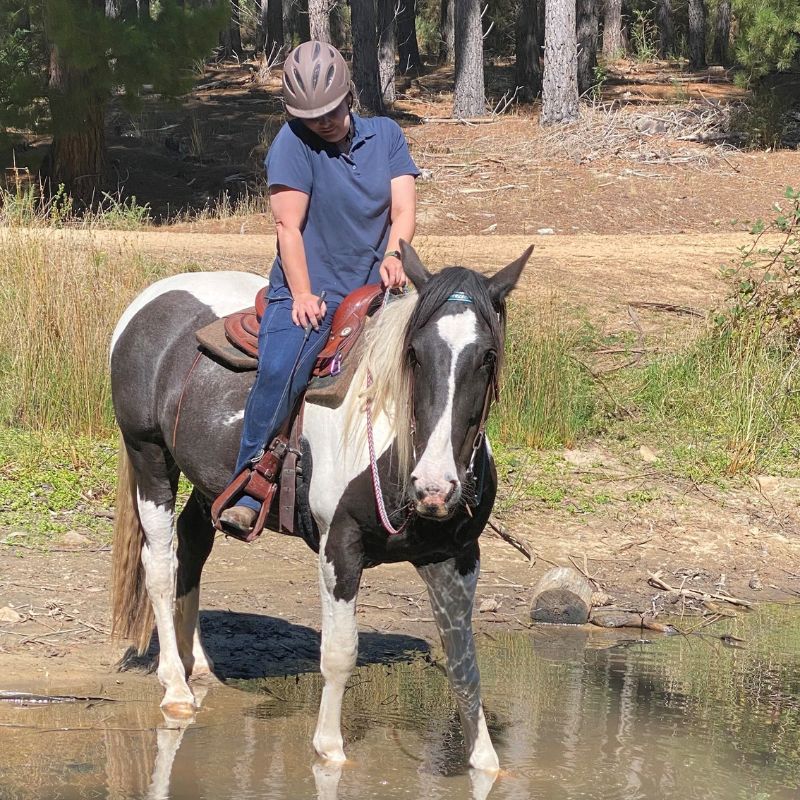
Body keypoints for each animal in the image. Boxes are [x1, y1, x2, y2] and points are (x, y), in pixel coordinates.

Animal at [109, 240, 531, 772]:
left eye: (488, 355)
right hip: (149, 457)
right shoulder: (341, 547)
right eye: (413, 354)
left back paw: (198, 666)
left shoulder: (455, 558)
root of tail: (151, 297)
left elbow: (463, 663)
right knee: (160, 566)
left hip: (208, 484)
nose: (435, 487)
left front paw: (485, 760)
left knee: (191, 547)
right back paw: (176, 687)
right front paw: (329, 748)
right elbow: (340, 653)